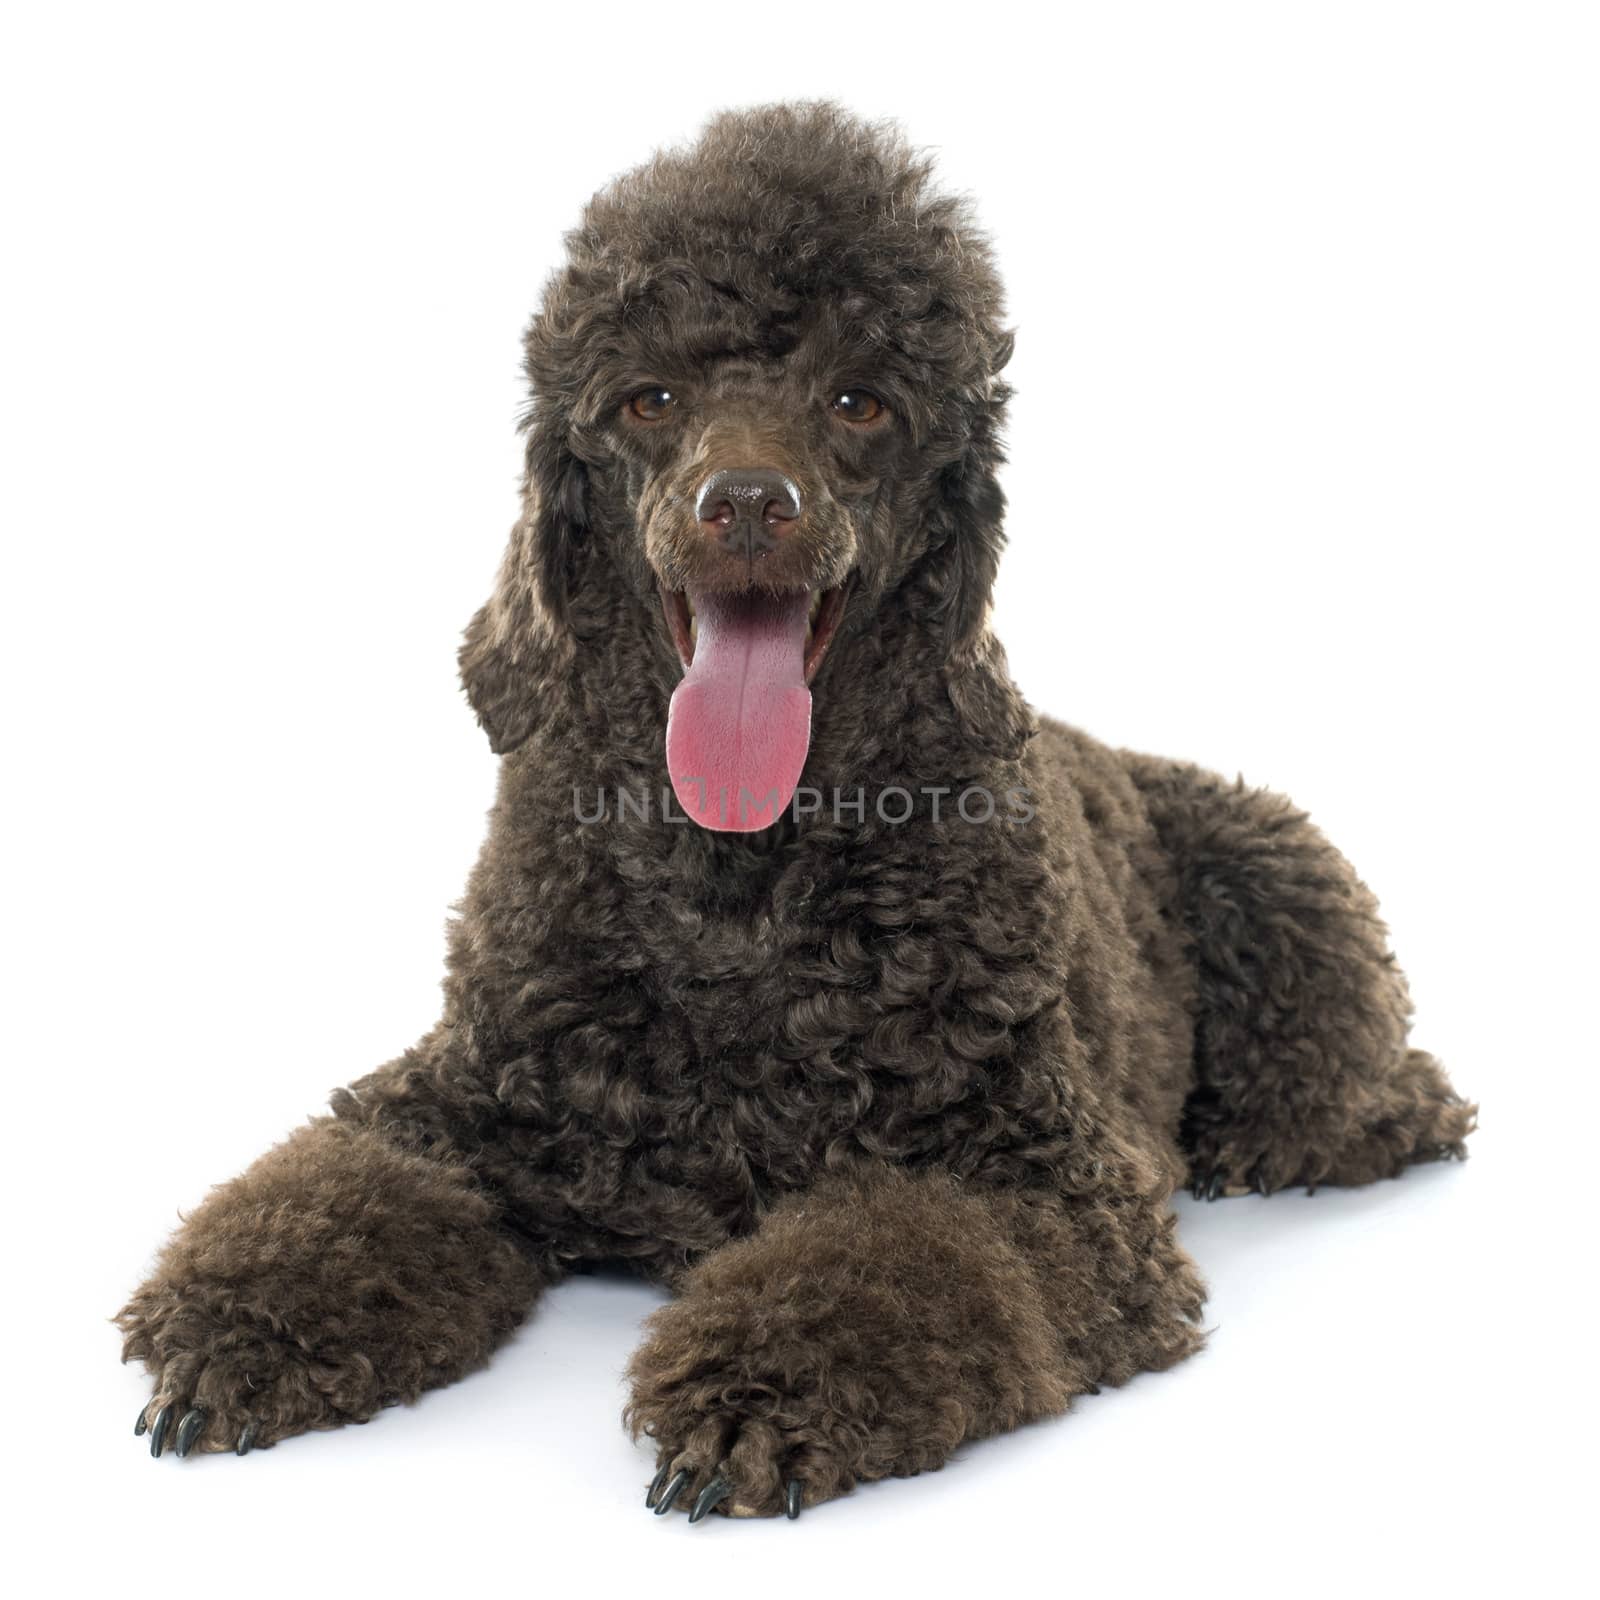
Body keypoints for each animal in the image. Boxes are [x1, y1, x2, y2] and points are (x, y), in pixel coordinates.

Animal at [121, 103, 1472, 1523]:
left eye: (857, 401)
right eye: (652, 399)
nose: (749, 503)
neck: (733, 887)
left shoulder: (1044, 1182)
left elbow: (901, 1256)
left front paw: (755, 1392)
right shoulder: (450, 1110)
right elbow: (339, 1193)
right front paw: (235, 1328)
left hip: (1280, 877)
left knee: (1383, 1093)